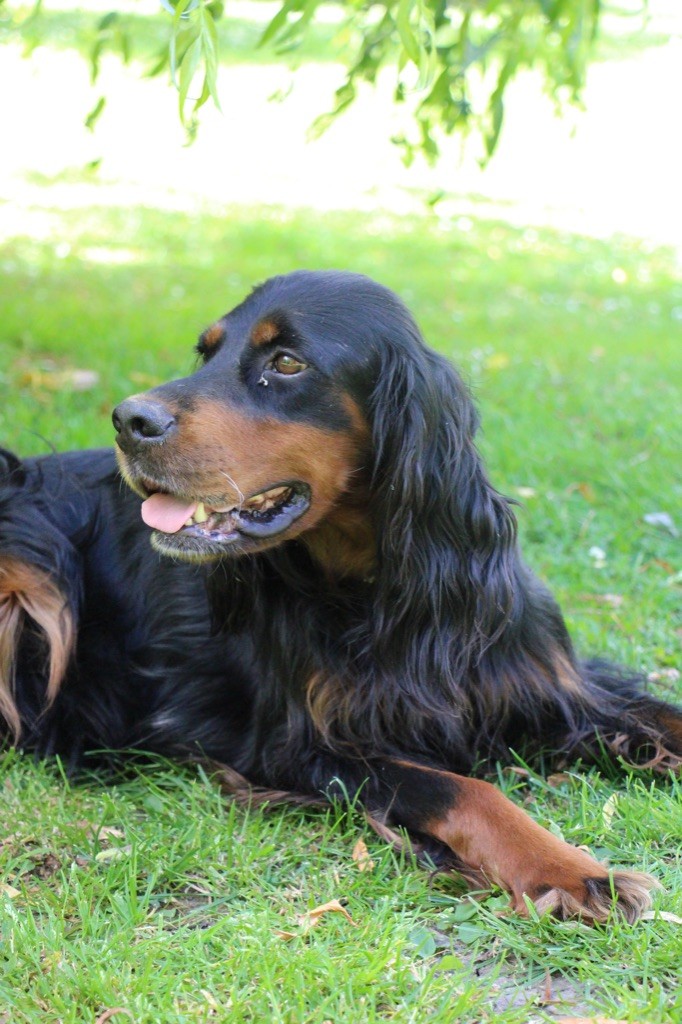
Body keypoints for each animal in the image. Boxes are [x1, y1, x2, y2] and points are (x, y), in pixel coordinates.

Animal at [1, 270, 679, 921]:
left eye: (286, 362)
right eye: (206, 352)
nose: (128, 421)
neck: (380, 593)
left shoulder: (546, 683)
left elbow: (659, 713)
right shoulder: (303, 747)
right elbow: (463, 790)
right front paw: (570, 871)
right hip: (30, 558)